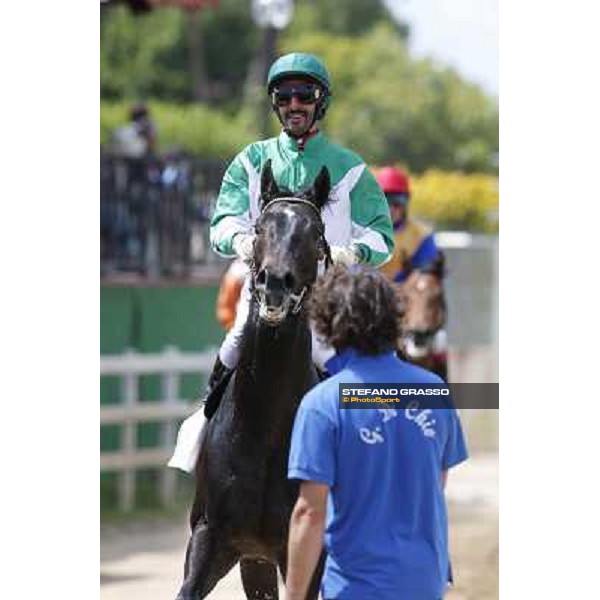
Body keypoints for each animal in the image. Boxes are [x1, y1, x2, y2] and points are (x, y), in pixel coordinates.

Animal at [173, 161, 332, 600]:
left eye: (315, 234)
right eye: (260, 228)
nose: (275, 283)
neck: (265, 431)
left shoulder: (304, 549)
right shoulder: (214, 536)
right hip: (253, 560)